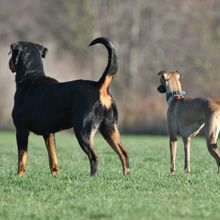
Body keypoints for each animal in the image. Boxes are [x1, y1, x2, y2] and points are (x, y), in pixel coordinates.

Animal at [8, 37, 130, 176]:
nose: (9, 63)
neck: (30, 77)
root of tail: (99, 87)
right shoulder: (49, 134)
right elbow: (53, 159)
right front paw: (55, 176)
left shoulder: (21, 130)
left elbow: (21, 158)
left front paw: (19, 176)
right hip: (109, 128)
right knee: (123, 154)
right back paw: (127, 176)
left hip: (83, 131)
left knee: (94, 157)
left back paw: (92, 177)